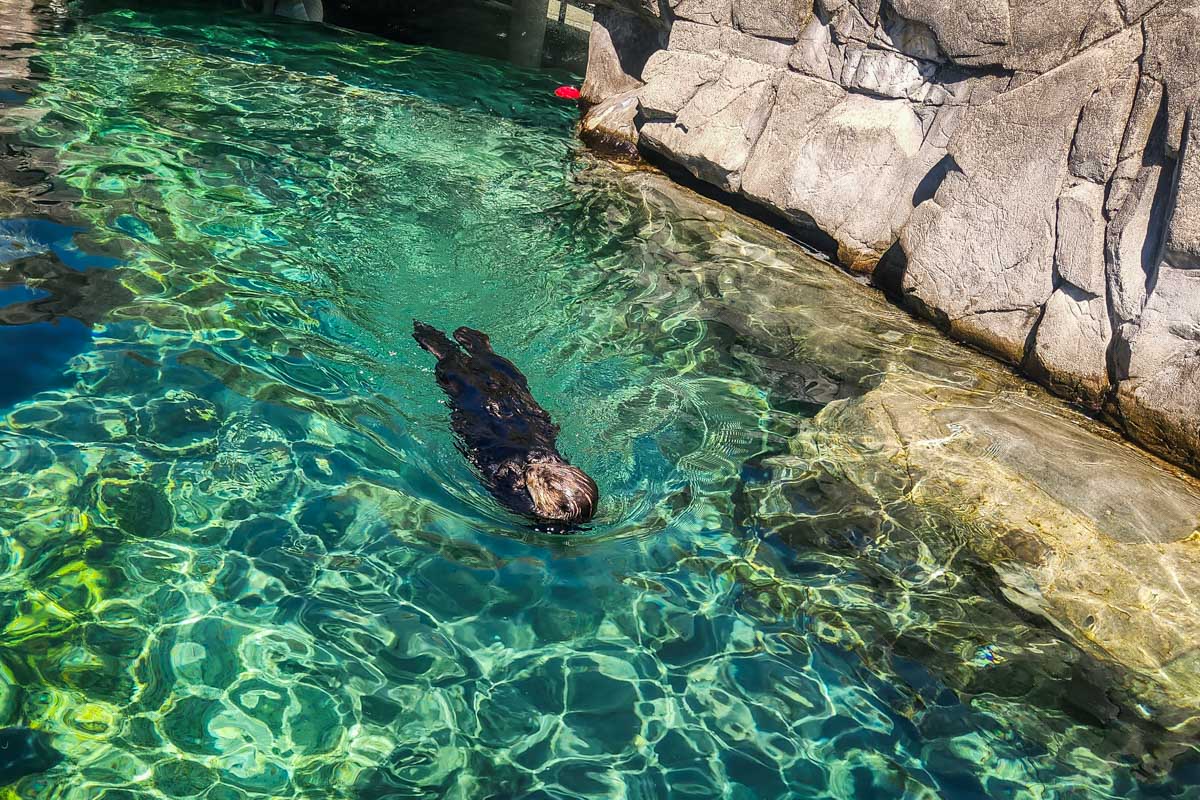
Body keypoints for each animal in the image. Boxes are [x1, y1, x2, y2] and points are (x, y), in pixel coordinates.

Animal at [413, 321, 598, 528]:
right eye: (547, 472)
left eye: (547, 483)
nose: (530, 469)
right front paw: (537, 456)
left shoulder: (522, 505)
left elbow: (507, 481)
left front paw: (515, 472)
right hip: (508, 370)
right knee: (486, 355)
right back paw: (465, 334)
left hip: (450, 376)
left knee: (449, 359)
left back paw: (430, 336)